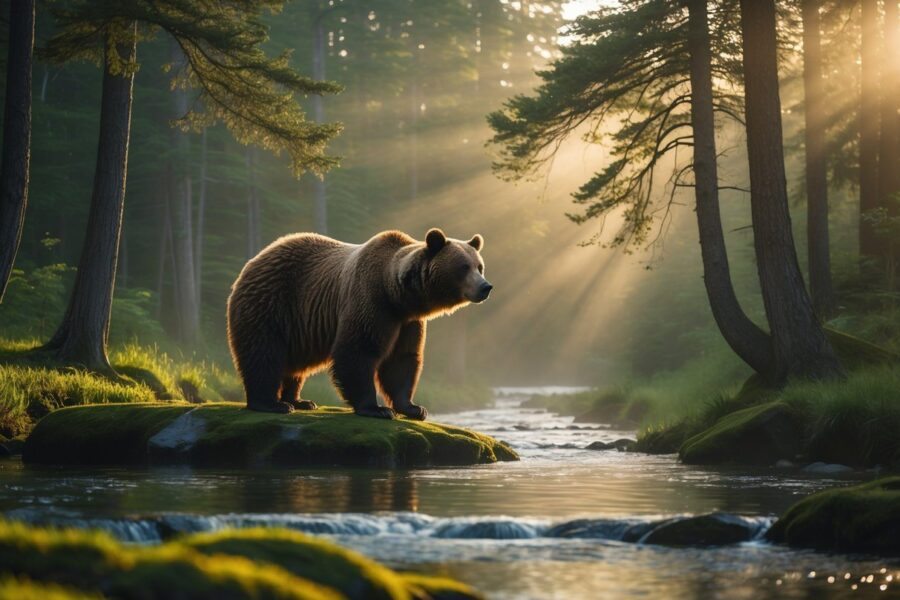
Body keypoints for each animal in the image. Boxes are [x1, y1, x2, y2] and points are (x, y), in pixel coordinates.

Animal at [226, 228, 492, 419]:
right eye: (463, 267)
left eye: (479, 266)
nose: (486, 287)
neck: (396, 294)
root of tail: (255, 260)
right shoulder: (370, 300)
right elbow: (358, 350)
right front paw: (377, 409)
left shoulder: (407, 321)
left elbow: (402, 359)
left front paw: (414, 408)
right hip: (271, 304)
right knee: (263, 352)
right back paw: (271, 403)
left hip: (299, 326)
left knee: (295, 364)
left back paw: (300, 400)